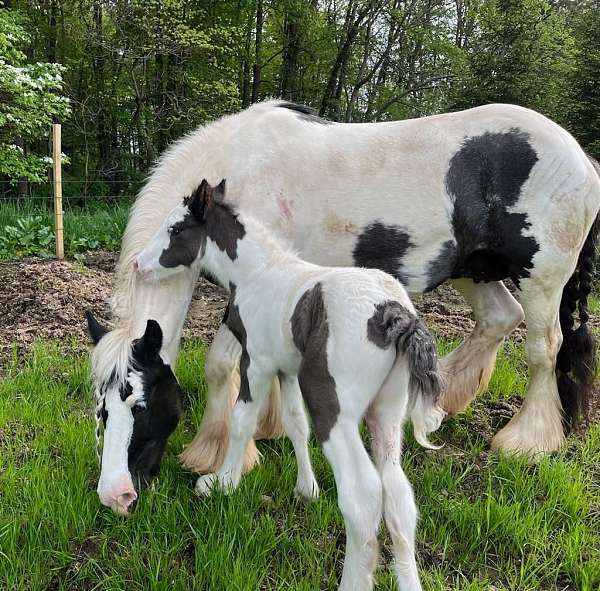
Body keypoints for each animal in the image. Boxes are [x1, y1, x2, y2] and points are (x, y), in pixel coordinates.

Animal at [89, 99, 600, 512]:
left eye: (138, 404)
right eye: (101, 409)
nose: (116, 496)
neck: (239, 170)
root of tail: (583, 159)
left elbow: (219, 367)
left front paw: (212, 454)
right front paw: (269, 427)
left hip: (541, 278)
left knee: (543, 348)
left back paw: (526, 440)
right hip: (473, 270)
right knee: (499, 319)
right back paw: (445, 400)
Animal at [137, 180, 446, 591]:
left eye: (175, 228)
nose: (139, 264)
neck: (257, 273)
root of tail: (394, 314)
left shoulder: (257, 363)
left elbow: (241, 420)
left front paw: (222, 483)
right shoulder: (287, 369)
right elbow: (295, 423)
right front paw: (306, 490)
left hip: (333, 407)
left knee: (363, 495)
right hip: (388, 411)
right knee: (398, 496)